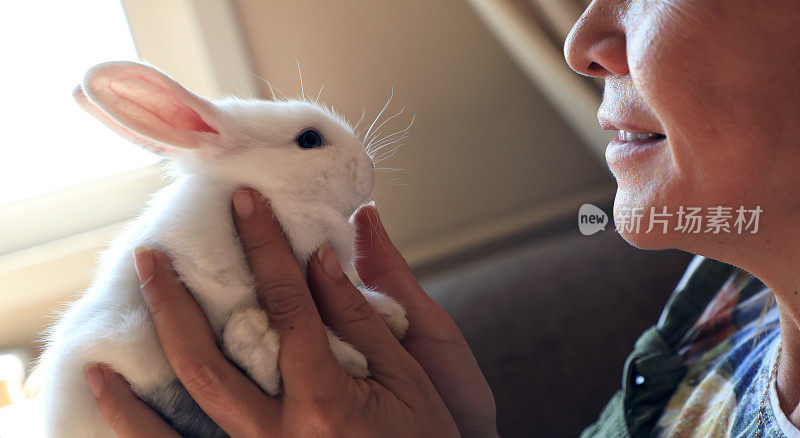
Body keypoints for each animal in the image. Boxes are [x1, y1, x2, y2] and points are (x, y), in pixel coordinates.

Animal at [38, 61, 410, 438]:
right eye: (309, 139)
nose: (370, 167)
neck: (277, 197)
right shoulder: (211, 281)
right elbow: (309, 331)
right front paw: (351, 358)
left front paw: (393, 315)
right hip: (127, 345)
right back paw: (253, 335)